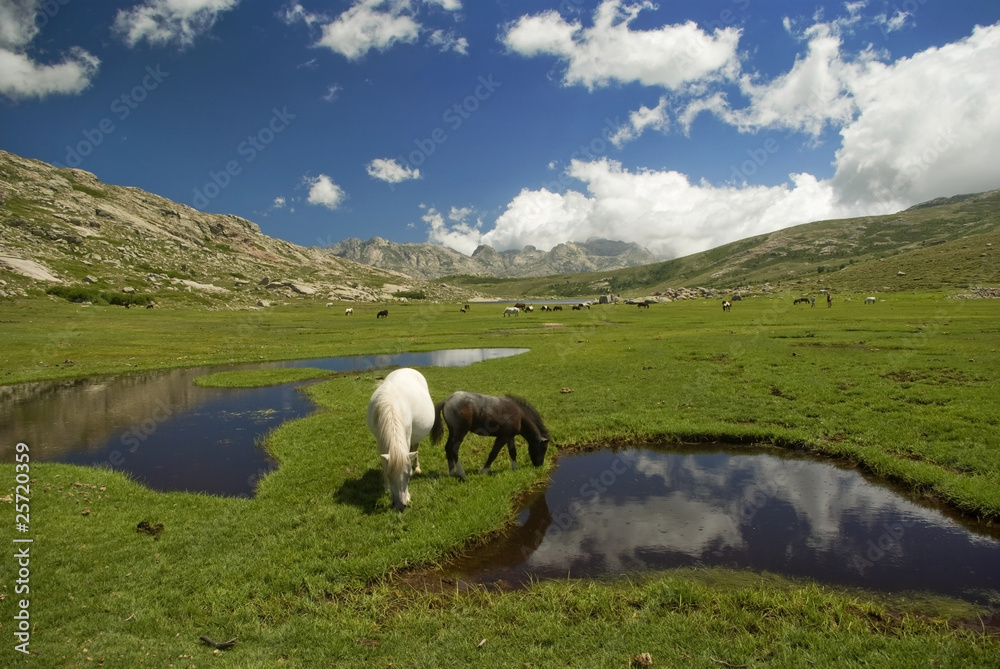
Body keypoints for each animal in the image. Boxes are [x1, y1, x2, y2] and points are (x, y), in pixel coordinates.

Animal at [365, 368, 435, 511]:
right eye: (389, 476)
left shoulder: (407, 435)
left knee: (415, 448)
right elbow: (384, 462)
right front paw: (386, 487)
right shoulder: (379, 439)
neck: (391, 406)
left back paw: (417, 467)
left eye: (408, 476)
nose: (401, 505)